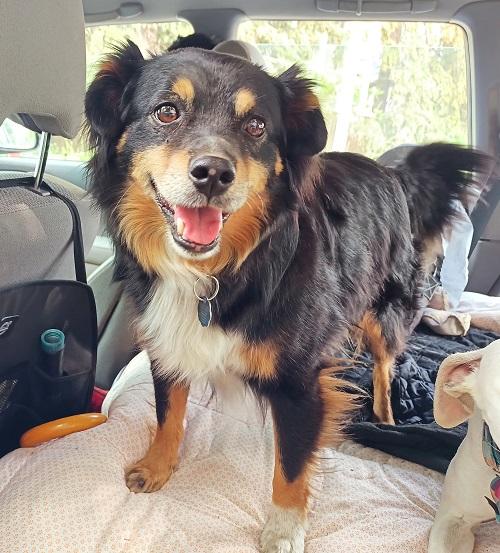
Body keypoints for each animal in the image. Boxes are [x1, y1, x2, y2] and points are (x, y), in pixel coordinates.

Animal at [84, 42, 489, 552]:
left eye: (256, 126)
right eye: (167, 111)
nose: (213, 174)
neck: (220, 272)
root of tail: (392, 172)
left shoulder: (300, 380)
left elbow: (293, 462)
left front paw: (283, 528)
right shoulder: (167, 344)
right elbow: (168, 412)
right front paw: (157, 466)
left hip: (385, 311)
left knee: (384, 364)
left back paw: (384, 416)